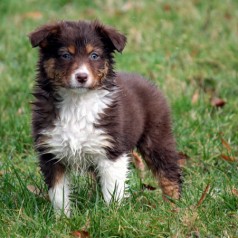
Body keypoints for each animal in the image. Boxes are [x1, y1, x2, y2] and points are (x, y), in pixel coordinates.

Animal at [29, 20, 182, 218]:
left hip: (157, 136)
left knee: (169, 173)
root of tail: (148, 82)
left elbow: (113, 189)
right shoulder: (51, 153)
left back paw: (174, 207)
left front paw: (113, 215)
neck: (77, 103)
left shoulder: (111, 150)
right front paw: (63, 219)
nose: (82, 77)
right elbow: (58, 194)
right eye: (65, 55)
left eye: (94, 55)